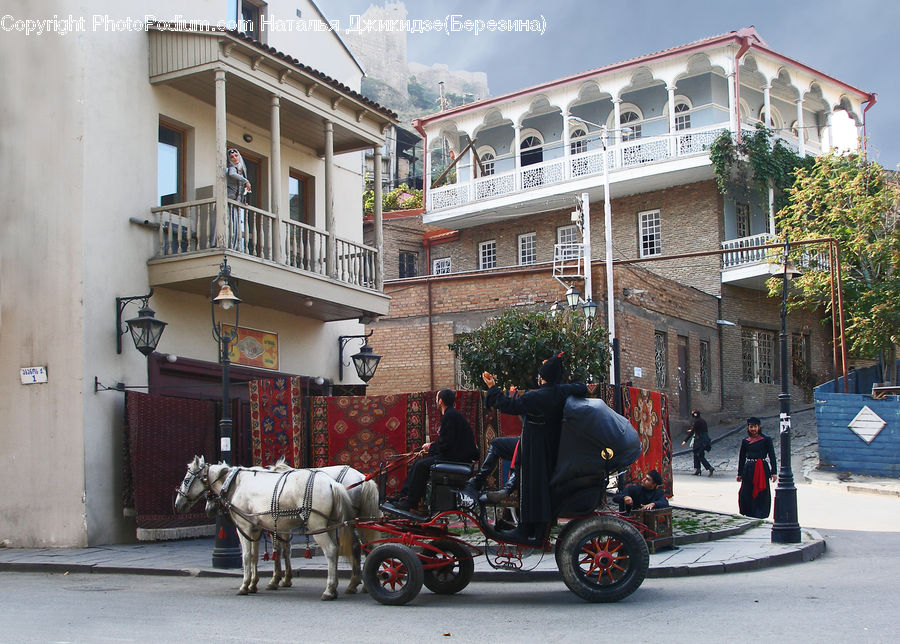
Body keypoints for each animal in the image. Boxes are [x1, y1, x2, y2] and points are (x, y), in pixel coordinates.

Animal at [174, 456, 356, 600]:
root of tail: (332, 483)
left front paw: (245, 585)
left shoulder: (244, 527)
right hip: (329, 525)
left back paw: (330, 589)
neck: (235, 484)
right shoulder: (256, 528)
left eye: (186, 480)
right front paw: (254, 584)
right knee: (338, 549)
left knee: (331, 550)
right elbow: (256, 556)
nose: (178, 504)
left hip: (316, 525)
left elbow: (247, 556)